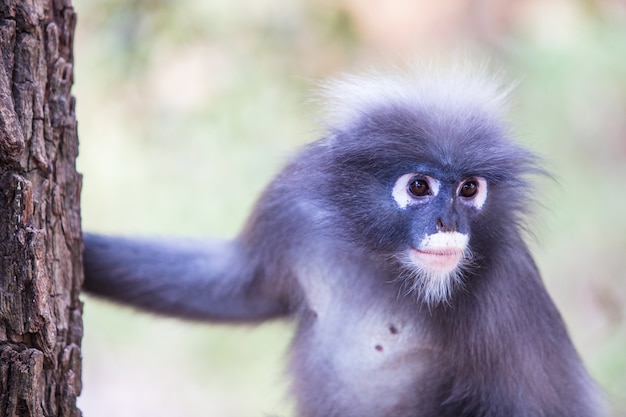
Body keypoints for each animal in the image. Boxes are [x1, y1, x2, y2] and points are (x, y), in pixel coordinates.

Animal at [81, 65, 600, 416]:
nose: (448, 220)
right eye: (419, 187)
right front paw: (86, 253)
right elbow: (238, 285)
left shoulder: (508, 289)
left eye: (469, 189)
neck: (378, 256)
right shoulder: (293, 208)